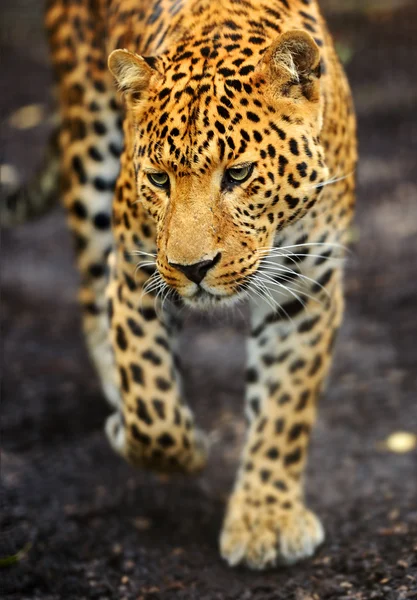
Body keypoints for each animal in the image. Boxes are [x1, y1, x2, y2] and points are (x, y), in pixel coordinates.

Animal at [1, 0, 356, 572]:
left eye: (238, 173)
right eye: (159, 179)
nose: (193, 268)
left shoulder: (308, 288)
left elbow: (284, 408)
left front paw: (266, 518)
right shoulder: (136, 271)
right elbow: (152, 405)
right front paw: (163, 441)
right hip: (90, 156)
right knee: (90, 294)